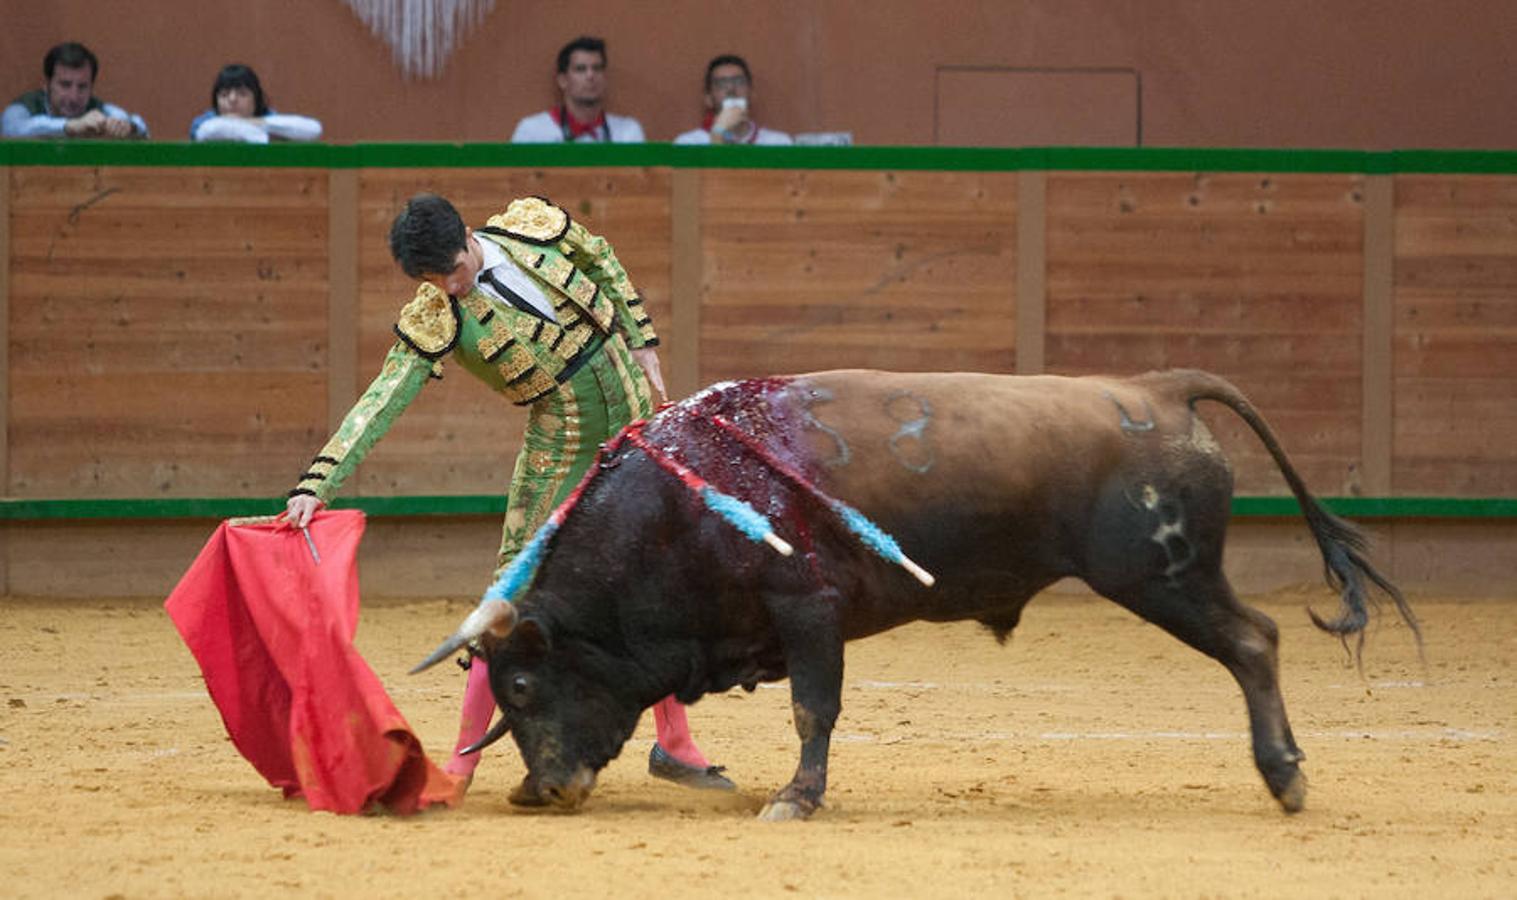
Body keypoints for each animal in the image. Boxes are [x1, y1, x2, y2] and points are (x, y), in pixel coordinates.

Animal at [409, 368, 1413, 819]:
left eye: (523, 684)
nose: (541, 789)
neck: (679, 505)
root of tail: (1157, 389)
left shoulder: (808, 611)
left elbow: (813, 709)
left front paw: (796, 799)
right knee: (1257, 639)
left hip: (1164, 577)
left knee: (1253, 641)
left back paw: (1284, 778)